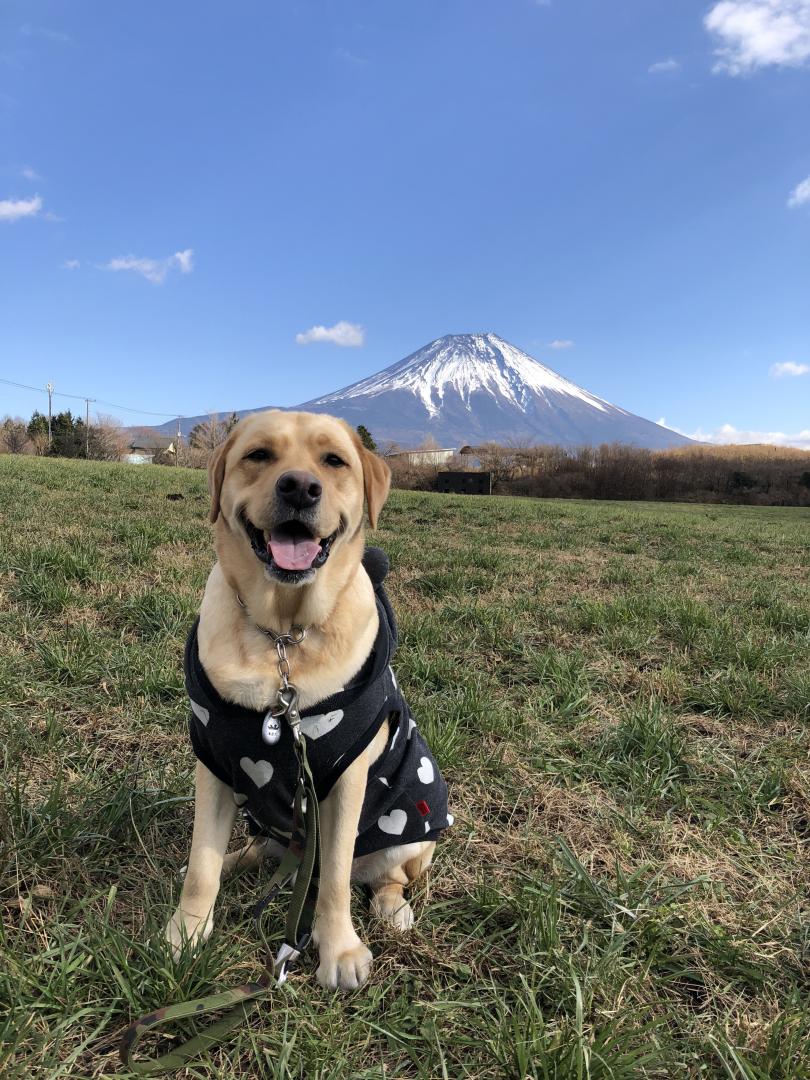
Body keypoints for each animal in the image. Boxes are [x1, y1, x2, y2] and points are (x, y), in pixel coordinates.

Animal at [166, 408, 451, 989]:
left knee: (385, 876)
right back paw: (238, 861)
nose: (299, 487)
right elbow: (202, 864)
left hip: (411, 834)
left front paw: (337, 949)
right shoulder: (215, 762)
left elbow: (338, 877)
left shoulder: (344, 780)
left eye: (334, 461)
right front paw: (188, 930)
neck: (282, 634)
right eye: (258, 455)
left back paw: (392, 908)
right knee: (256, 849)